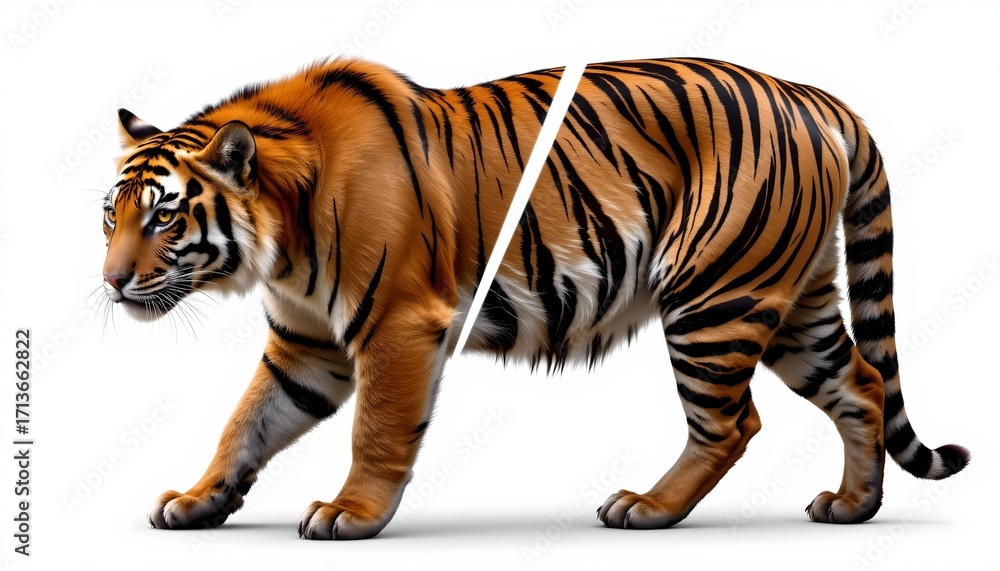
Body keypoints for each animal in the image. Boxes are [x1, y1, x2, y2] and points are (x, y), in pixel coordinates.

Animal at [101, 56, 969, 539]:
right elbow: (245, 421)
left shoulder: (397, 325)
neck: (280, 234)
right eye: (111, 215)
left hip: (714, 296)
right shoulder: (306, 345)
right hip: (792, 298)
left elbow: (375, 431)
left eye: (164, 216)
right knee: (861, 383)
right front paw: (198, 499)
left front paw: (352, 514)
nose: (110, 283)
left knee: (732, 423)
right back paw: (853, 503)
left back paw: (647, 506)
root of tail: (811, 95)